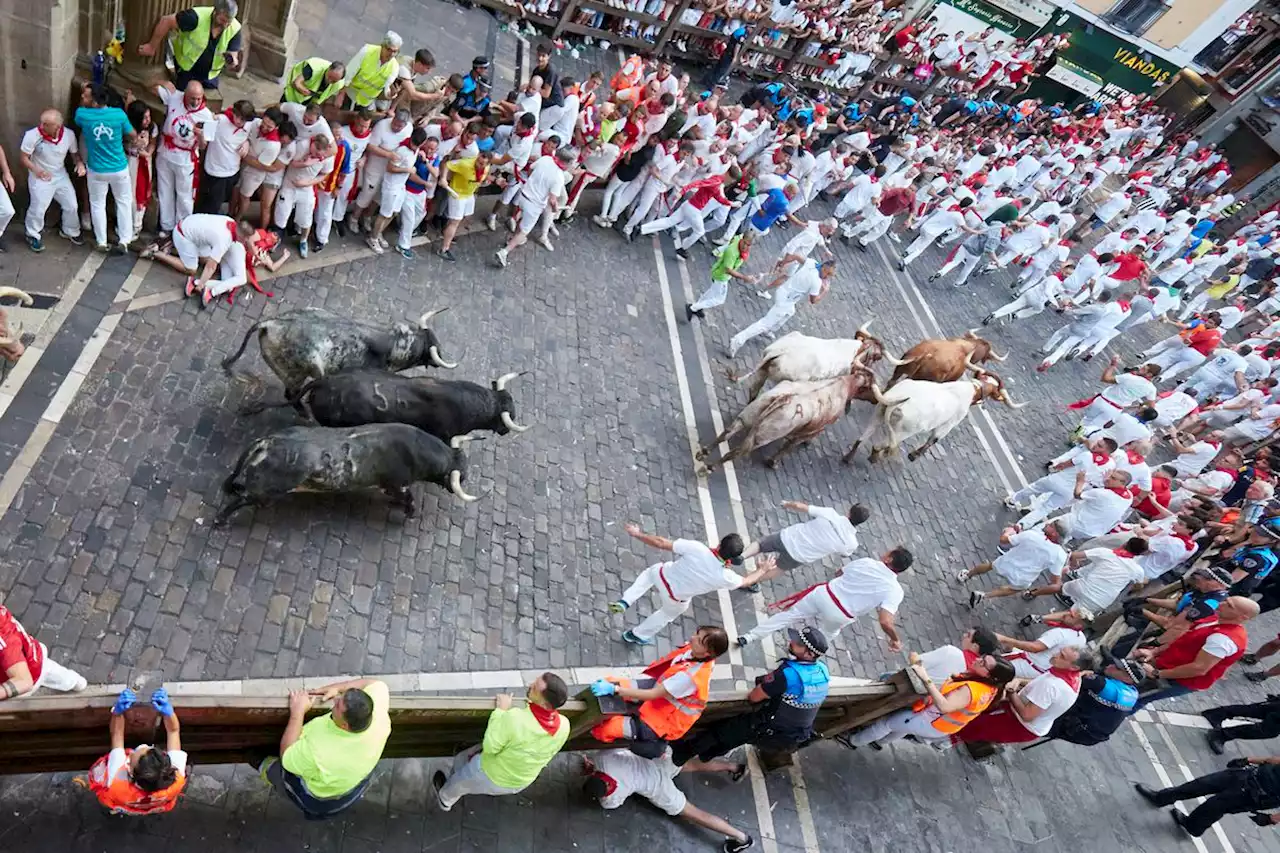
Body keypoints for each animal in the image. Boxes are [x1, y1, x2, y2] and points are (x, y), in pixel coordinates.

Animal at [217, 420, 481, 525]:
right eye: (462, 475)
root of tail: (268, 441)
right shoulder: (398, 483)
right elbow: (408, 499)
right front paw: (408, 514)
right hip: (267, 492)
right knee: (242, 500)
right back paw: (221, 521)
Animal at [696, 366, 875, 471]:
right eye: (870, 387)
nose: (875, 400)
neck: (844, 385)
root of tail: (785, 398)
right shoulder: (814, 430)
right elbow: (788, 447)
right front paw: (772, 462)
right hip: (763, 436)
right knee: (737, 451)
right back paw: (708, 468)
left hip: (749, 414)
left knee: (728, 431)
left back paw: (703, 453)